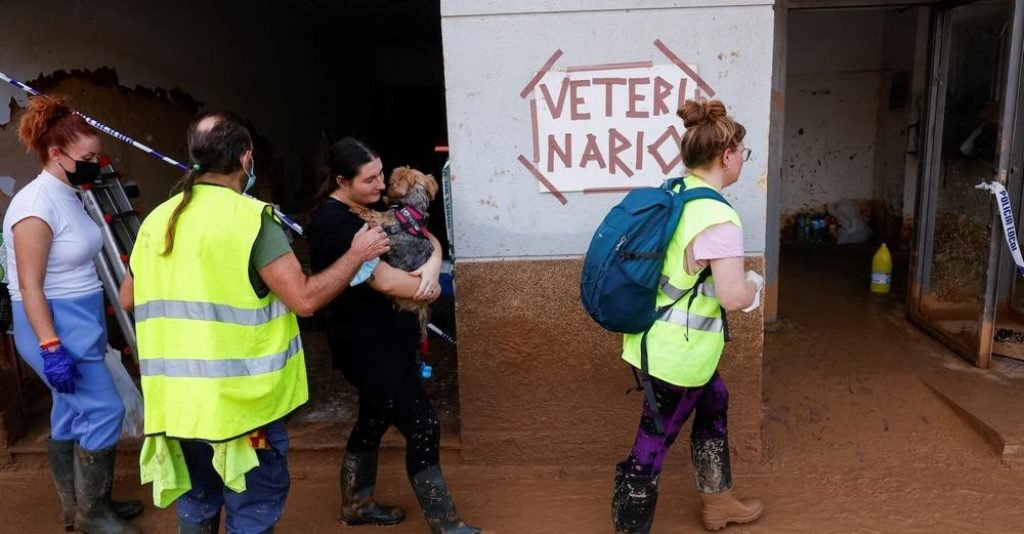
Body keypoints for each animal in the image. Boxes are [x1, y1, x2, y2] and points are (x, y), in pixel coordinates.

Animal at [350, 163, 438, 336]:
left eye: (390, 182)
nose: (384, 189)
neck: (411, 206)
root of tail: (422, 306)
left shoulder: (382, 221)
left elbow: (369, 212)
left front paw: (355, 205)